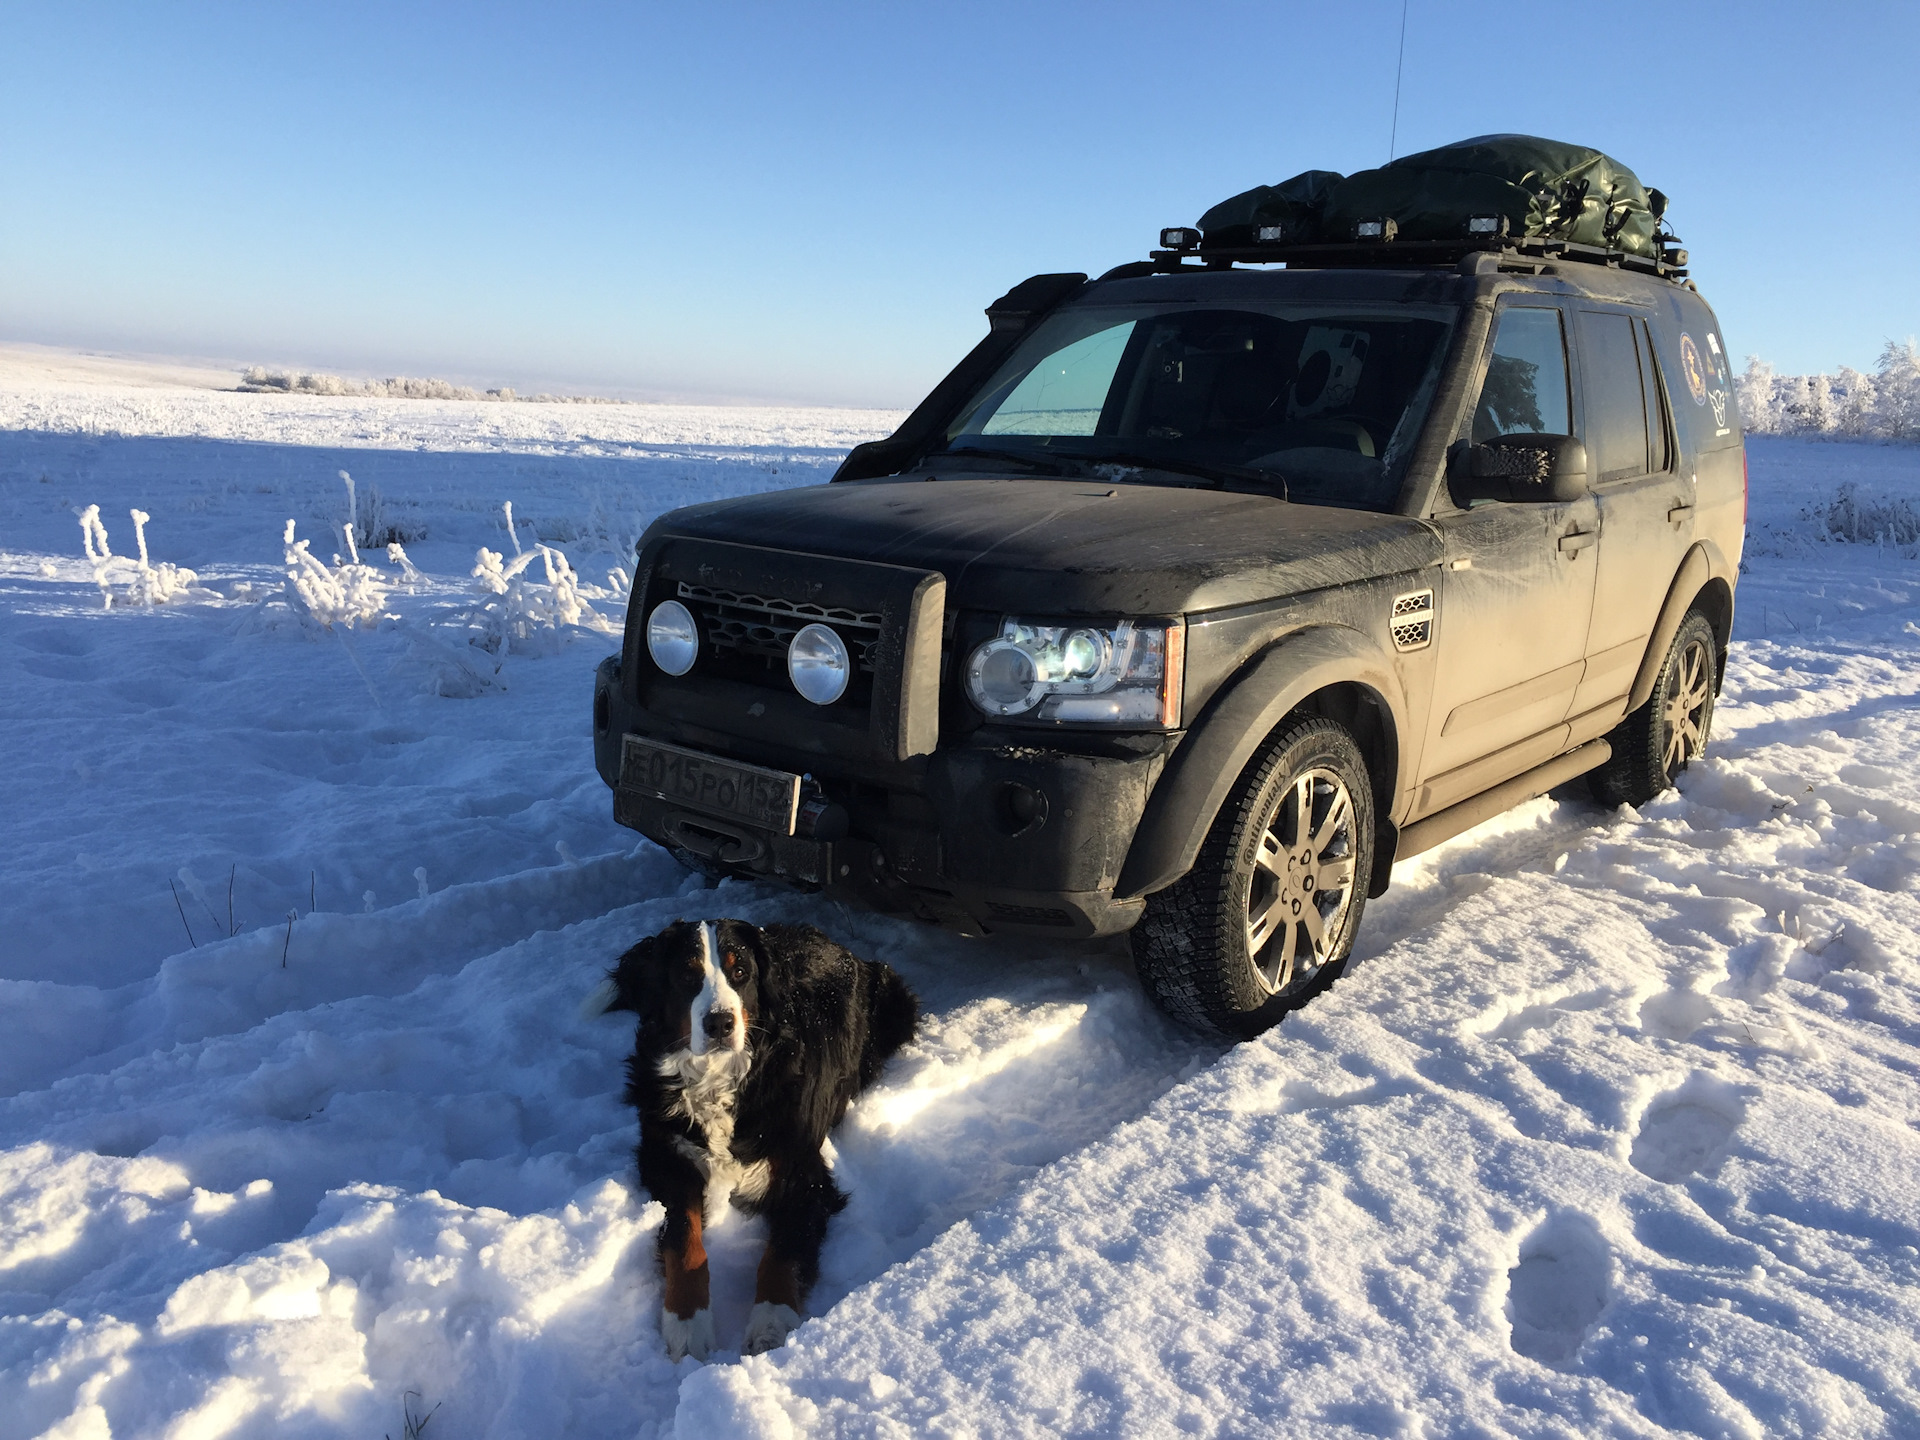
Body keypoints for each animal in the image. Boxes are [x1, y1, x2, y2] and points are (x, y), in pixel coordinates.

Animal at [595, 925, 917, 1367]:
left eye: (741, 972)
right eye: (686, 975)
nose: (720, 1023)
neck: (719, 1081)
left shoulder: (803, 1174)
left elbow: (780, 1253)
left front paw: (770, 1323)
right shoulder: (666, 1158)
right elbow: (684, 1239)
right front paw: (687, 1323)